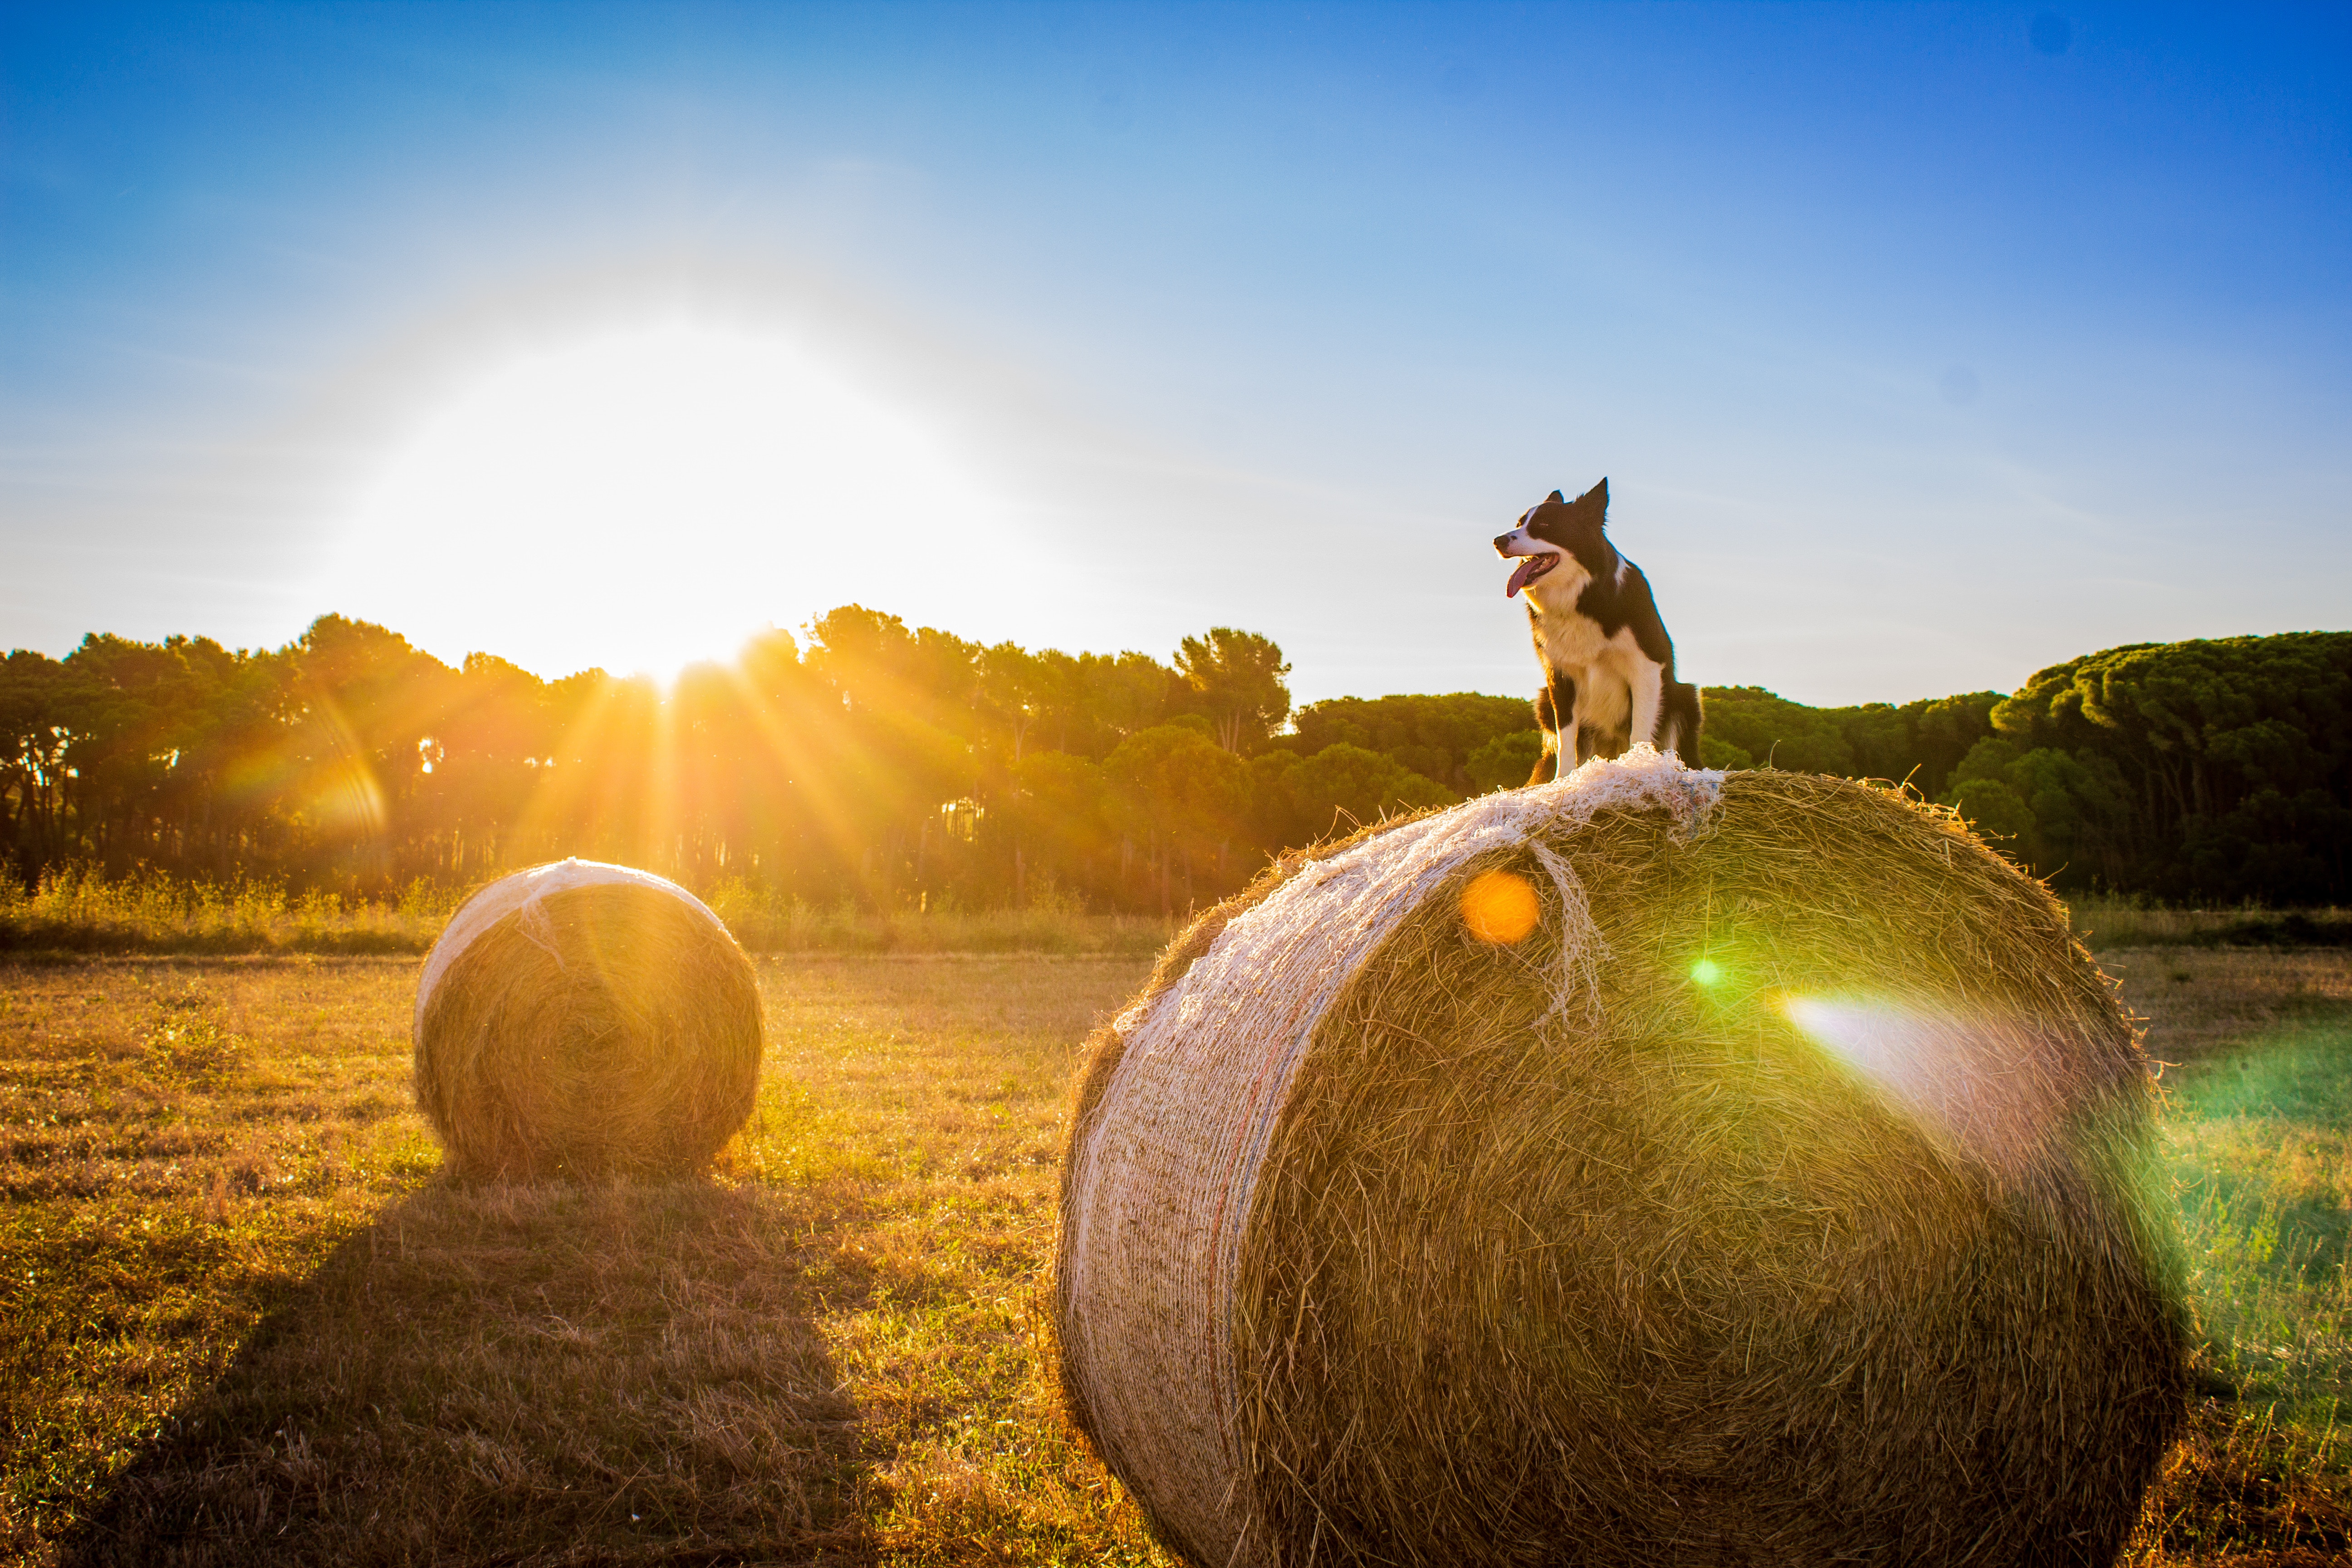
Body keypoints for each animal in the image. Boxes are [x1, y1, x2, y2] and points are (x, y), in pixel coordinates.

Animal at [1496, 472, 1703, 780]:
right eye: (1520, 523)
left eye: (1545, 526)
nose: (1497, 541)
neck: (1583, 597)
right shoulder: (1560, 675)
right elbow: (1567, 740)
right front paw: (1563, 781)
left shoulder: (1646, 667)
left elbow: (1640, 731)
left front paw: (1638, 767)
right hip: (1544, 701)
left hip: (1685, 696)